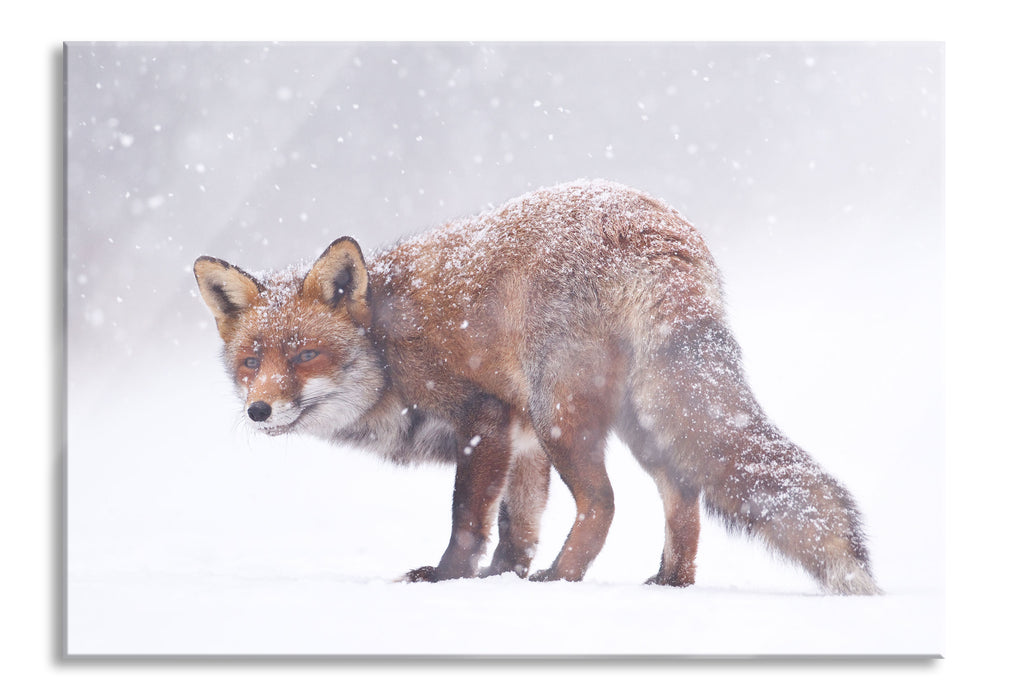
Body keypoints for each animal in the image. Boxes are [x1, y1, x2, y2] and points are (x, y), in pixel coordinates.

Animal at [192, 178, 879, 593]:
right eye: (251, 361)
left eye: (306, 355)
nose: (259, 409)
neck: (386, 346)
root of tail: (651, 225)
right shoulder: (521, 442)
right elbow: (516, 526)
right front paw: (504, 580)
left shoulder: (487, 418)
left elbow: (469, 518)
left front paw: (449, 579)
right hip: (638, 422)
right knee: (683, 497)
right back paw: (668, 584)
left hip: (562, 415)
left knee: (604, 504)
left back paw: (562, 580)